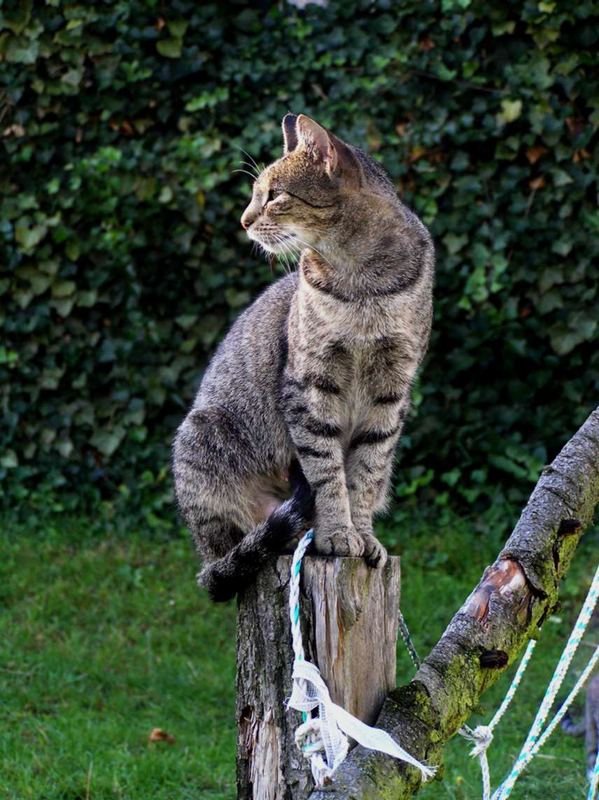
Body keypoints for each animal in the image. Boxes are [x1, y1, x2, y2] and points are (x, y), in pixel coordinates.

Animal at [171, 112, 434, 600]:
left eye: (275, 195)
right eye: (255, 194)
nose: (243, 220)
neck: (362, 282)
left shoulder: (391, 390)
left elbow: (366, 472)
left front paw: (362, 534)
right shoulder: (310, 384)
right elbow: (326, 470)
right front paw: (337, 534)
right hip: (203, 441)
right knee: (237, 549)